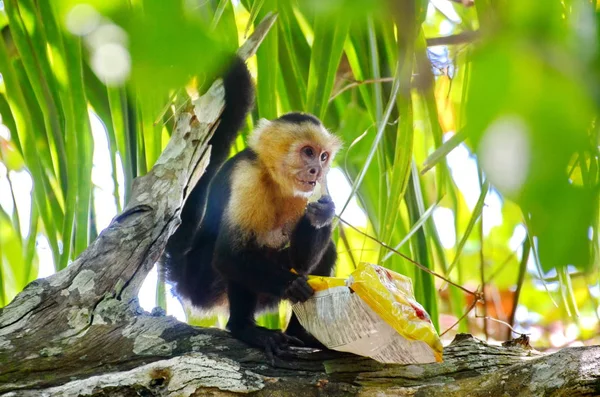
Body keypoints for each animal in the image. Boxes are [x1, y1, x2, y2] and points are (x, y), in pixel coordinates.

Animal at [164, 56, 342, 358]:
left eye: (323, 156)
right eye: (307, 152)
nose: (316, 170)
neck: (275, 180)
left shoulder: (314, 189)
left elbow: (302, 262)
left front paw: (323, 214)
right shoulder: (247, 176)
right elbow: (229, 255)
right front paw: (290, 284)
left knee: (323, 254)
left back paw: (302, 335)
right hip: (204, 283)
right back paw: (244, 328)